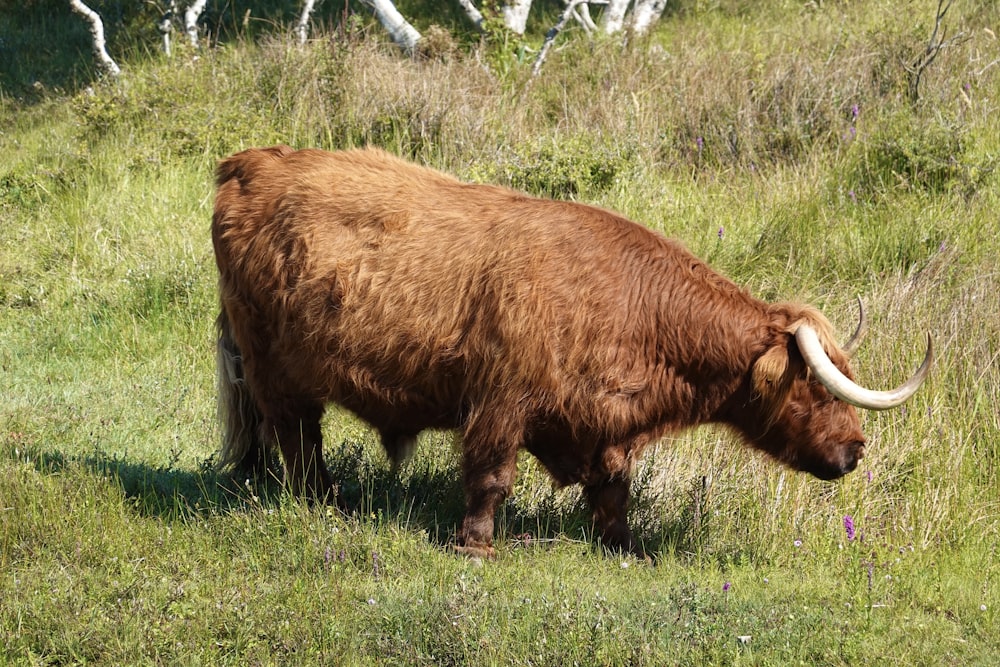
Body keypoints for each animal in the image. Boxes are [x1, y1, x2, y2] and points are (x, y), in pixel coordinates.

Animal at [211, 145, 928, 560]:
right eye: (817, 386)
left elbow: (614, 491)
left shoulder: (604, 426)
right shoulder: (501, 401)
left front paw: (626, 548)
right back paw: (322, 500)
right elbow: (491, 478)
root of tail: (245, 162)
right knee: (297, 436)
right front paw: (476, 547)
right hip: (273, 366)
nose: (856, 449)